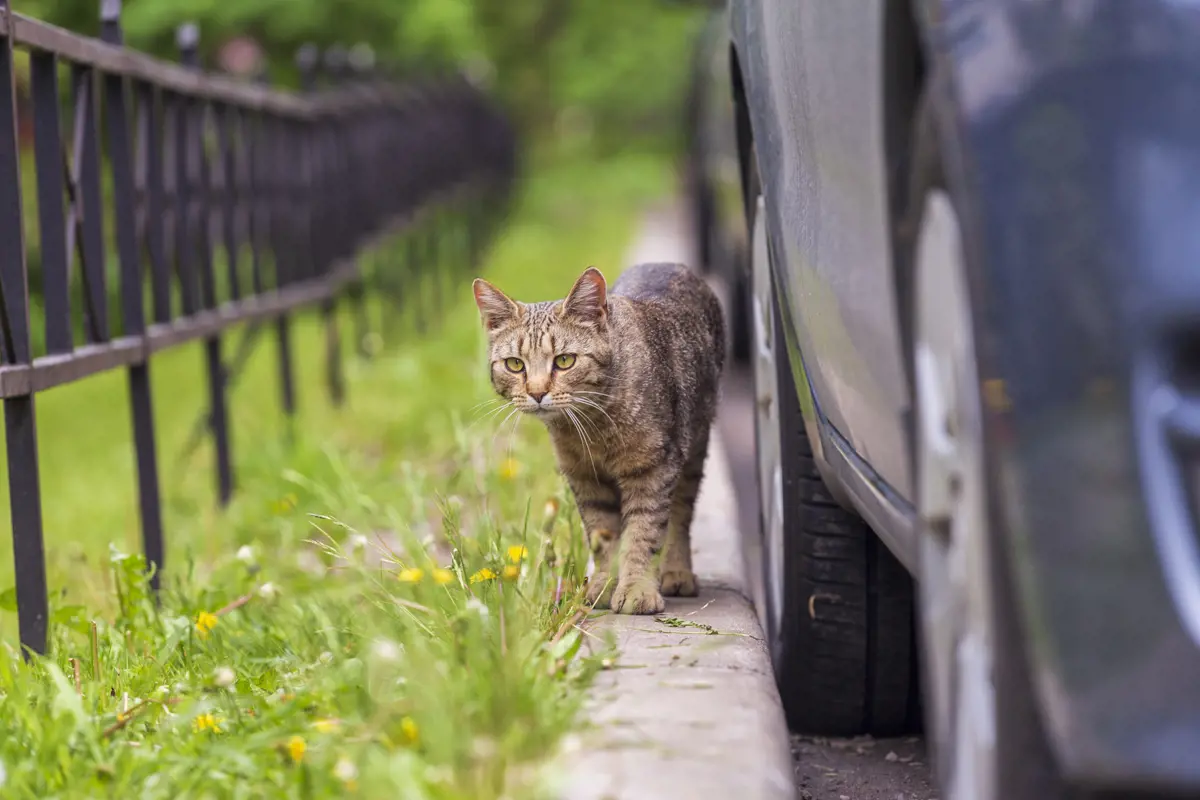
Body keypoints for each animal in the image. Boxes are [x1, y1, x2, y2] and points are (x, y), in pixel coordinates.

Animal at [472, 262, 724, 614]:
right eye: (514, 365)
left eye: (564, 360)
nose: (536, 392)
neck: (592, 427)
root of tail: (669, 264)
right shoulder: (585, 478)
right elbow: (603, 537)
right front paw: (606, 584)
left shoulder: (652, 470)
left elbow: (643, 534)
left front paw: (636, 589)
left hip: (693, 448)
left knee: (680, 514)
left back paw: (677, 571)